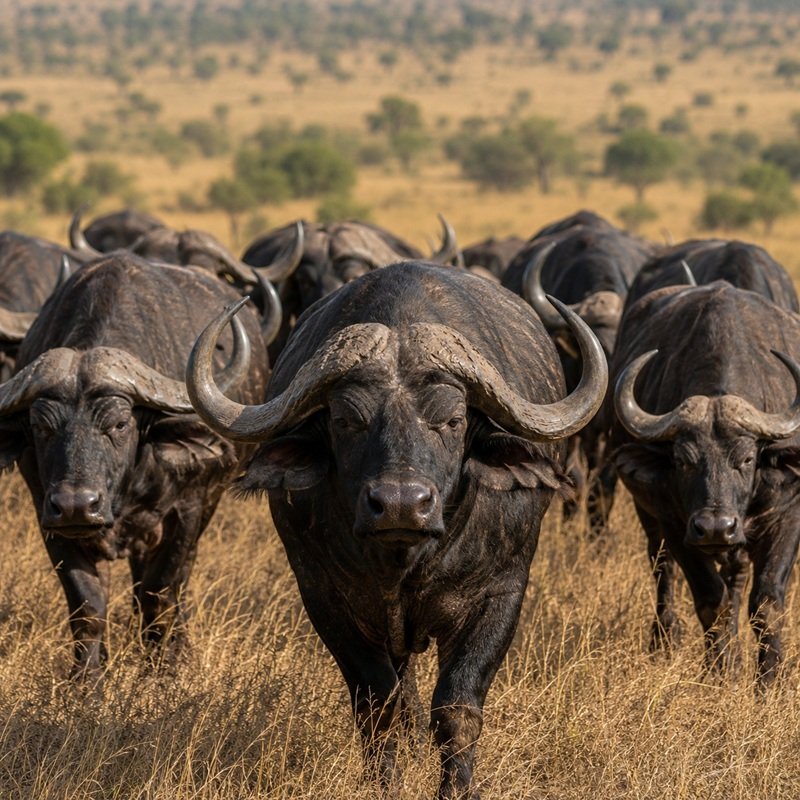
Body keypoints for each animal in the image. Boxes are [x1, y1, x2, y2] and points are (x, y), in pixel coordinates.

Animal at [0, 253, 269, 677]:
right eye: (41, 427)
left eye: (119, 424)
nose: (77, 505)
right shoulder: (50, 519)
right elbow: (88, 605)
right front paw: (88, 680)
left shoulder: (186, 512)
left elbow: (160, 593)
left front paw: (164, 670)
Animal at [187, 261, 607, 798]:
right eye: (347, 419)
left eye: (452, 420)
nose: (401, 505)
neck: (406, 561)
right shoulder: (324, 596)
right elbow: (379, 704)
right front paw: (384, 781)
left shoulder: (502, 593)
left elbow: (457, 707)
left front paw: (456, 788)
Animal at [610, 281, 800, 683]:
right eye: (683, 461)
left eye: (747, 459)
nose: (715, 527)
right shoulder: (674, 522)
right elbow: (710, 599)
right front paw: (720, 673)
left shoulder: (788, 513)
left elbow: (766, 602)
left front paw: (769, 680)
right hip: (650, 518)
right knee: (663, 570)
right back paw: (665, 639)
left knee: (737, 577)